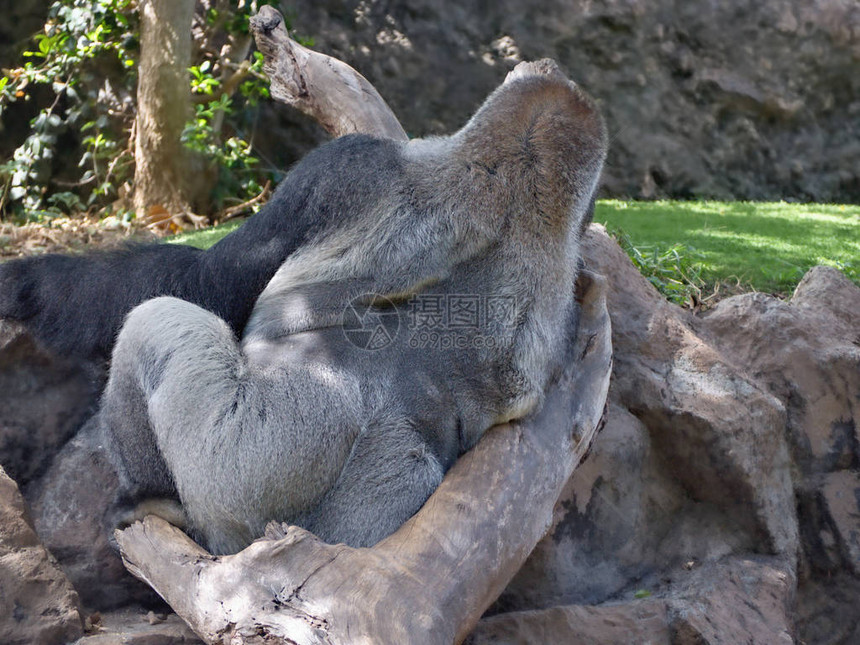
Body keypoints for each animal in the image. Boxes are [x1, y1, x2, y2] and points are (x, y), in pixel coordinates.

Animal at [101, 61, 608, 552]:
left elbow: (203, 278)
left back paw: (150, 496)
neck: (519, 175)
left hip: (242, 468)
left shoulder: (343, 163)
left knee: (156, 324)